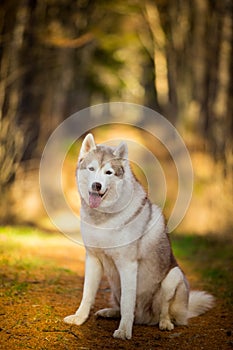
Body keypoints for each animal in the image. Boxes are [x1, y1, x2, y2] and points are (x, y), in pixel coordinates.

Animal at [62, 133, 214, 340]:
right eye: (91, 169)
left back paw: (165, 323)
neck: (103, 218)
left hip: (173, 277)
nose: (96, 185)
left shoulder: (128, 265)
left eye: (108, 172)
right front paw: (79, 318)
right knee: (120, 305)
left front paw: (124, 330)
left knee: (164, 311)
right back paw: (110, 312)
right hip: (114, 287)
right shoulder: (93, 259)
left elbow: (128, 302)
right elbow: (87, 294)